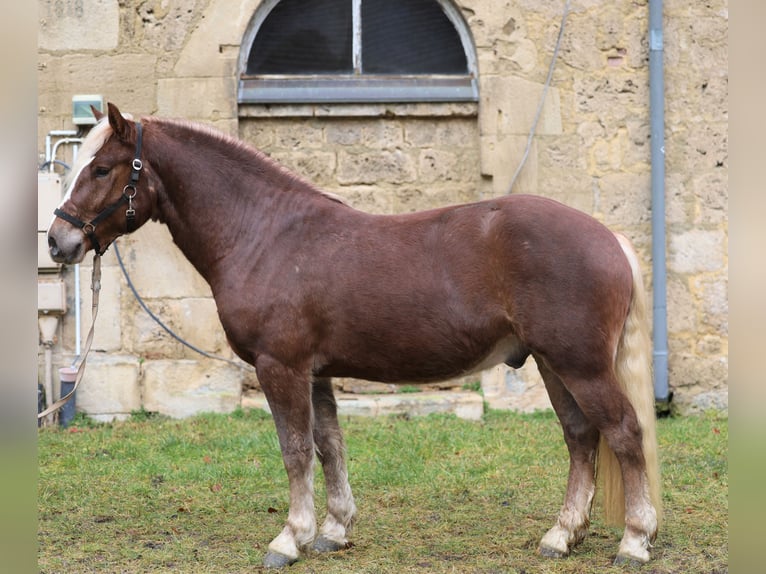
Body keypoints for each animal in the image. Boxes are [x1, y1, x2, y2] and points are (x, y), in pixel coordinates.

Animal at [47, 103, 661, 568]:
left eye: (102, 168)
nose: (58, 242)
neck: (265, 234)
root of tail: (608, 238)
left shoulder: (280, 367)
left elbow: (295, 450)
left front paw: (289, 538)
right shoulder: (316, 373)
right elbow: (328, 445)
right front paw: (334, 529)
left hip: (580, 365)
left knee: (624, 433)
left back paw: (634, 540)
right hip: (554, 365)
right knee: (581, 438)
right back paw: (562, 535)